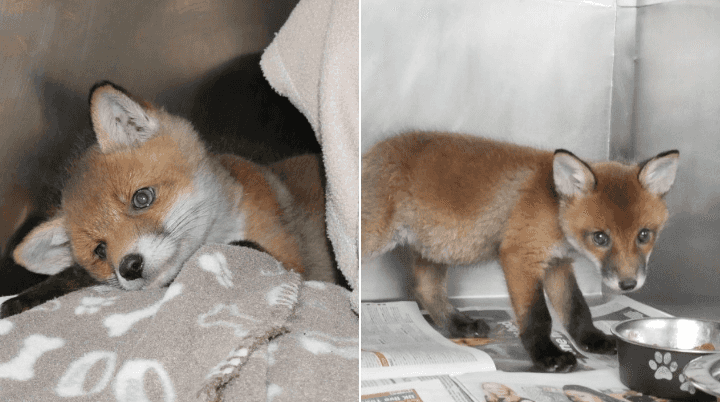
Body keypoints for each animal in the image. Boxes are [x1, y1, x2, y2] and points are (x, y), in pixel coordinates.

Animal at [1, 81, 336, 317]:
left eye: (142, 198)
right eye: (100, 250)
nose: (129, 267)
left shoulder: (289, 261)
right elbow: (71, 277)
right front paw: (23, 300)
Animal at [362, 132, 679, 373]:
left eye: (644, 235)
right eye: (600, 238)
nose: (628, 284)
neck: (555, 213)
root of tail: (373, 150)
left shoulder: (557, 263)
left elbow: (576, 308)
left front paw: (592, 339)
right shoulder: (520, 257)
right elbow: (538, 317)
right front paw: (547, 355)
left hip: (437, 248)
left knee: (425, 289)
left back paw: (459, 324)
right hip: (376, 238)